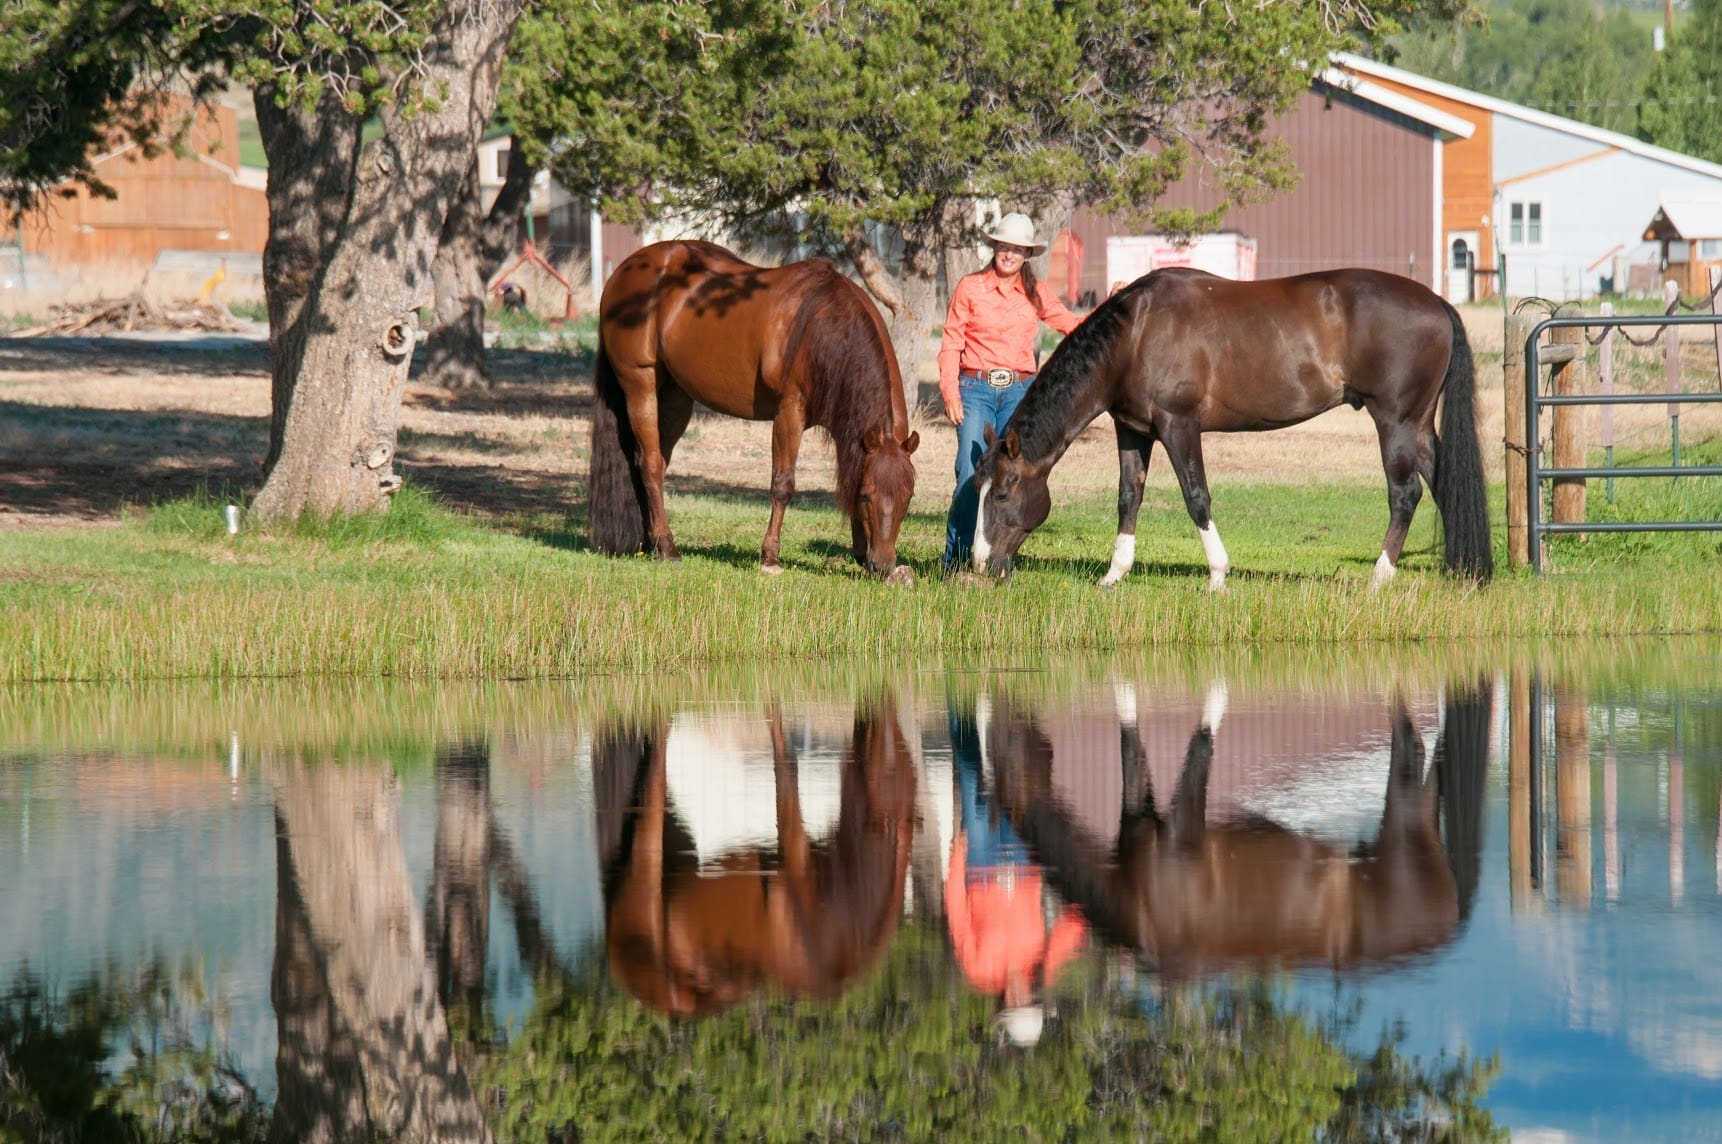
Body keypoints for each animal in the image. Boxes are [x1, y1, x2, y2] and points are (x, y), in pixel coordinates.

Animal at [588, 242, 922, 582]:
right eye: (868, 496)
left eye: (908, 498)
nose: (883, 565)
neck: (821, 324)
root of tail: (625, 270)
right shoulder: (789, 413)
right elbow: (783, 485)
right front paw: (770, 558)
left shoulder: (848, 427)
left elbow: (849, 474)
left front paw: (860, 553)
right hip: (640, 385)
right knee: (651, 465)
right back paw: (668, 548)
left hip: (674, 397)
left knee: (648, 461)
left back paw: (651, 541)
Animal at [971, 272, 1494, 585]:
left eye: (1002, 494)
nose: (980, 563)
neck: (1135, 335)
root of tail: (1439, 303)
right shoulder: (1133, 430)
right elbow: (1128, 496)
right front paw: (1114, 575)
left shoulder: (1178, 425)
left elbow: (1196, 496)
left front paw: (1218, 576)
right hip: (1418, 427)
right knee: (1446, 485)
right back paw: (1467, 573)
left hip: (1395, 423)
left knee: (1405, 494)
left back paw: (1379, 578)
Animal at [991, 682, 1487, 978]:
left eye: (1006, 752)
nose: (1003, 717)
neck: (1137, 903)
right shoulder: (1138, 812)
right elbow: (1131, 747)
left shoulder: (1183, 831)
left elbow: (1199, 748)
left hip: (1401, 815)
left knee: (1411, 747)